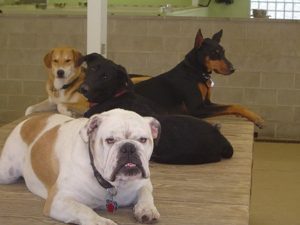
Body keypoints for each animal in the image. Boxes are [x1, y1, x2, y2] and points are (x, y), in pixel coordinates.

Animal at [135, 29, 264, 128]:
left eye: (224, 52)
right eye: (214, 53)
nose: (233, 69)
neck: (196, 72)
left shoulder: (207, 102)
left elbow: (230, 105)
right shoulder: (197, 108)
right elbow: (233, 105)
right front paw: (257, 118)